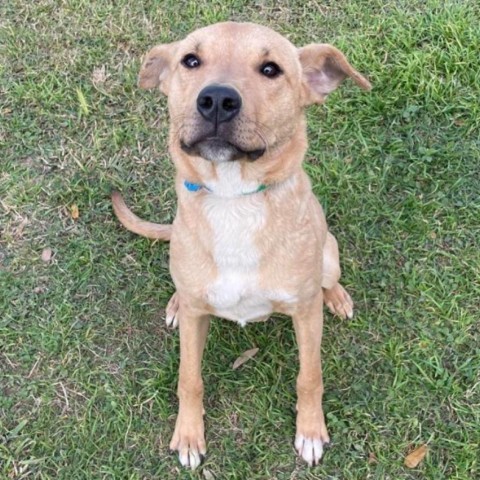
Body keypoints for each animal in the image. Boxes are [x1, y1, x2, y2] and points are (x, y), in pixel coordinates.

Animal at [113, 21, 372, 468]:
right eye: (191, 60)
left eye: (271, 69)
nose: (217, 99)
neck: (233, 198)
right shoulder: (196, 325)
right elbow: (189, 378)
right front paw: (189, 435)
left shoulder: (306, 314)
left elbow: (310, 376)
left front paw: (310, 431)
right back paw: (176, 303)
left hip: (329, 254)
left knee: (328, 279)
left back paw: (337, 297)